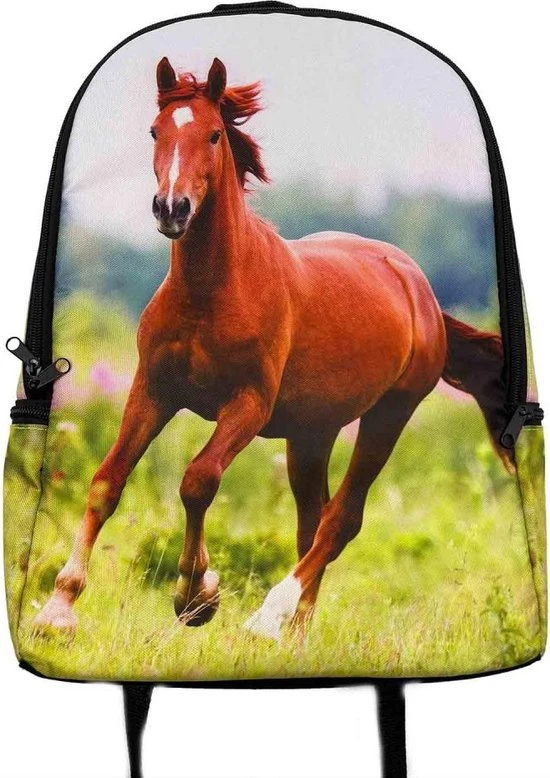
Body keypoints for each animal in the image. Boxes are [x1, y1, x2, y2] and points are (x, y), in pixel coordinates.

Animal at [35, 57, 512, 641]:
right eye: (155, 131)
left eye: (214, 134)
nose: (171, 209)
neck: (213, 292)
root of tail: (420, 291)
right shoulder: (153, 390)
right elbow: (108, 480)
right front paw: (59, 607)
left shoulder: (248, 404)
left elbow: (198, 480)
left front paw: (196, 595)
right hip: (312, 433)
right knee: (314, 520)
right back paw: (296, 635)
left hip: (389, 415)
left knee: (340, 521)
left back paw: (269, 616)